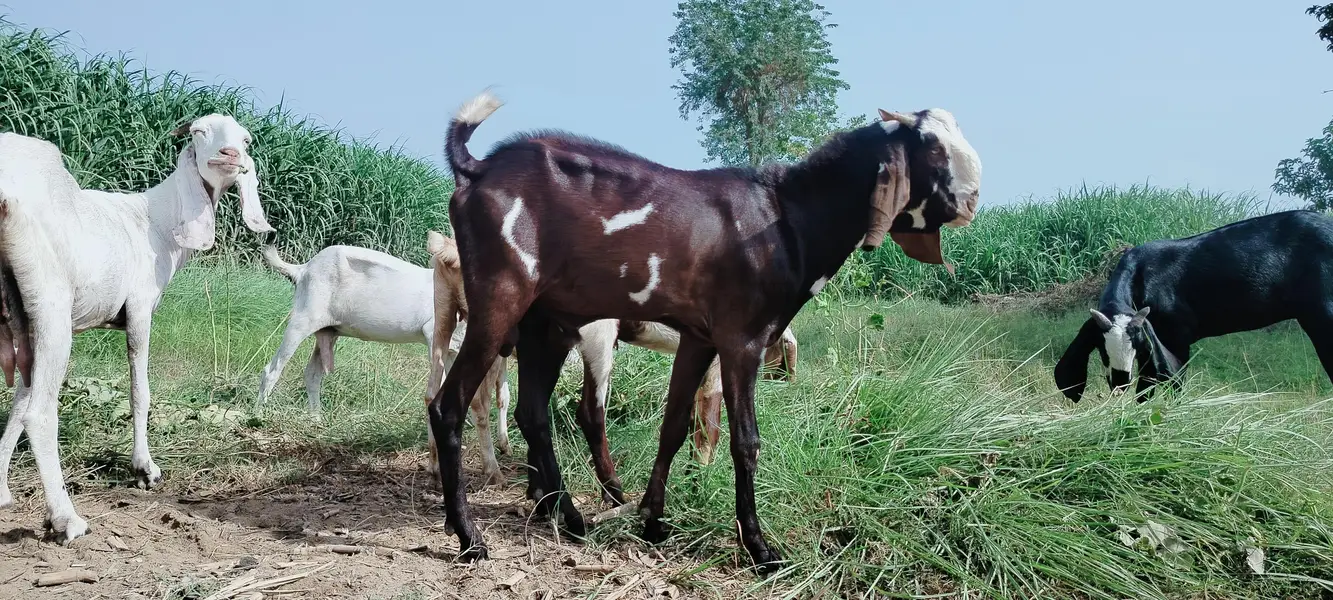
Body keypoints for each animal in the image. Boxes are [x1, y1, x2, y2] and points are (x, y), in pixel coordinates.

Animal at [0, 115, 274, 542]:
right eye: (199, 132)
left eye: (245, 140)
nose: (229, 155)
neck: (155, 219)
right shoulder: (140, 308)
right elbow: (139, 391)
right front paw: (144, 468)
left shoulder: (25, 326)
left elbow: (17, 402)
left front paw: (1, 490)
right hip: (50, 299)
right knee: (40, 414)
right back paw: (66, 519)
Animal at [429, 91, 982, 572]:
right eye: (931, 147)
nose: (973, 199)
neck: (786, 217)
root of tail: (478, 168)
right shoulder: (742, 339)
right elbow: (744, 440)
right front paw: (759, 548)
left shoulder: (699, 338)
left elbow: (674, 426)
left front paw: (654, 521)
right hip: (502, 300)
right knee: (448, 405)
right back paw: (469, 537)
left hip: (546, 322)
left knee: (533, 412)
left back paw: (568, 515)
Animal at [1055, 209, 1333, 402]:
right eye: (1102, 349)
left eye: (1134, 345)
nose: (1121, 381)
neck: (1140, 276)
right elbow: (1146, 387)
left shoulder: (1174, 336)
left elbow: (1173, 381)